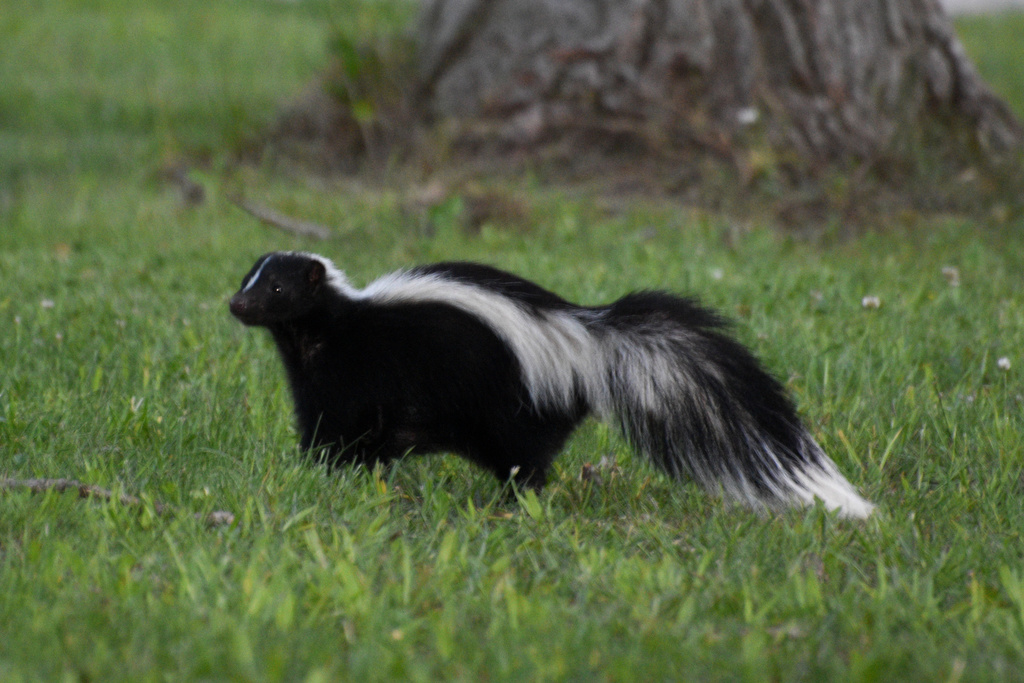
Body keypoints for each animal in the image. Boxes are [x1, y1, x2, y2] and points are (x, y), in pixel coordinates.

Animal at [230, 250, 872, 518]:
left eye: (278, 289)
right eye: (247, 279)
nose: (236, 304)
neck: (325, 329)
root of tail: (585, 336)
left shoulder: (357, 372)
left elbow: (342, 427)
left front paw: (323, 471)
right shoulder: (319, 379)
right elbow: (336, 428)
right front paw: (326, 470)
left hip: (512, 397)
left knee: (526, 459)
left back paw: (512, 504)